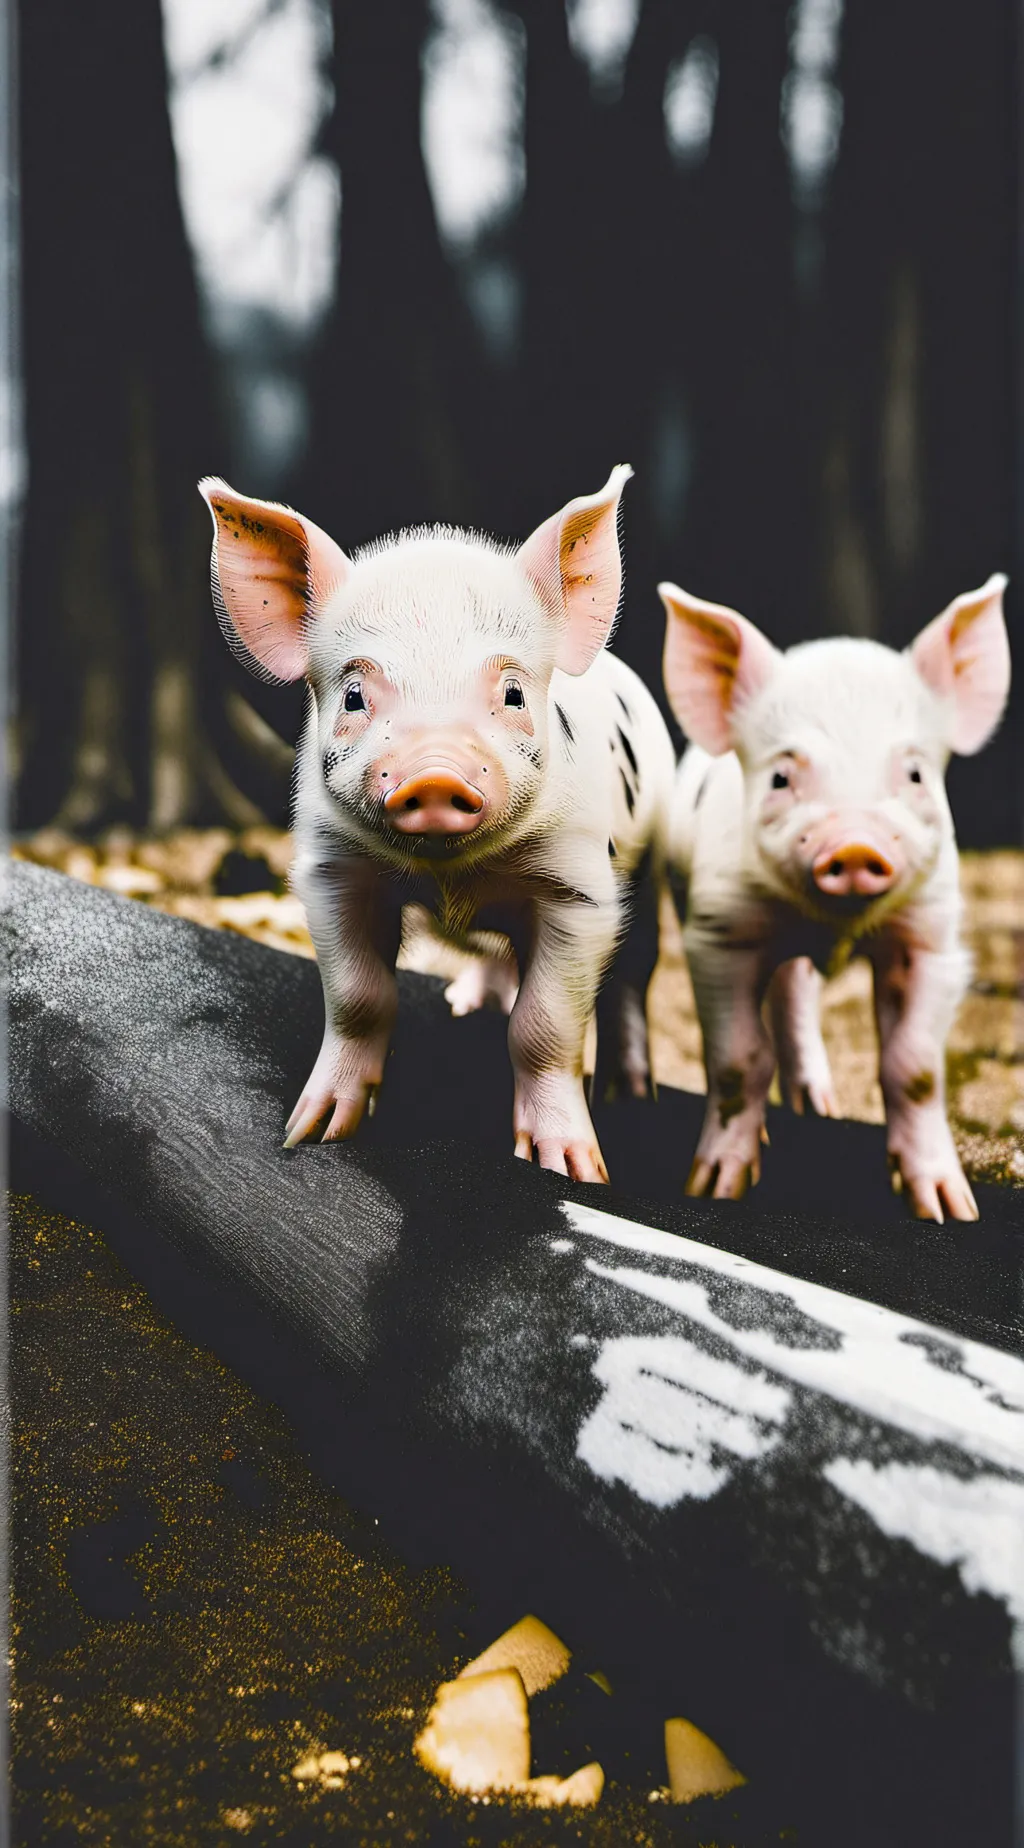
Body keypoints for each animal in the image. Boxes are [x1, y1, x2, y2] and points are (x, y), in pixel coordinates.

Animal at [199, 467, 676, 1182]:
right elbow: (360, 997)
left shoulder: (578, 890)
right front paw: (310, 1133)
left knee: (633, 982)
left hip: (650, 867)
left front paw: (572, 1170)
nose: (435, 773)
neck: (451, 876)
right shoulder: (331, 870)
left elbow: (545, 1026)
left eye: (512, 694)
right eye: (354, 696)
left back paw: (632, 1094)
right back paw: (465, 1003)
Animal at [659, 574, 1012, 1221]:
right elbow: (738, 1058)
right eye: (781, 777)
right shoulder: (718, 932)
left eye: (915, 774)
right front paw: (715, 1188)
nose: (853, 844)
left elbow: (915, 1068)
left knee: (795, 991)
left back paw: (818, 1107)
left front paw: (947, 1210)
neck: (833, 926)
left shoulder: (933, 938)